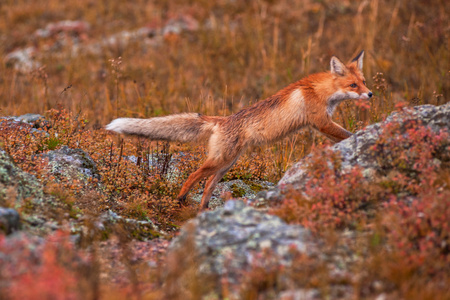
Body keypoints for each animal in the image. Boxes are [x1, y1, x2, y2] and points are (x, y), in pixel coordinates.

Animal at [106, 50, 372, 211]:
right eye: (353, 85)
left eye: (364, 82)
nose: (370, 94)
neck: (322, 91)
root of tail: (221, 120)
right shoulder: (321, 122)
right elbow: (346, 135)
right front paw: (362, 137)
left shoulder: (323, 124)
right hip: (220, 161)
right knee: (194, 175)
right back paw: (181, 199)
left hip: (226, 164)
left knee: (207, 186)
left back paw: (203, 213)